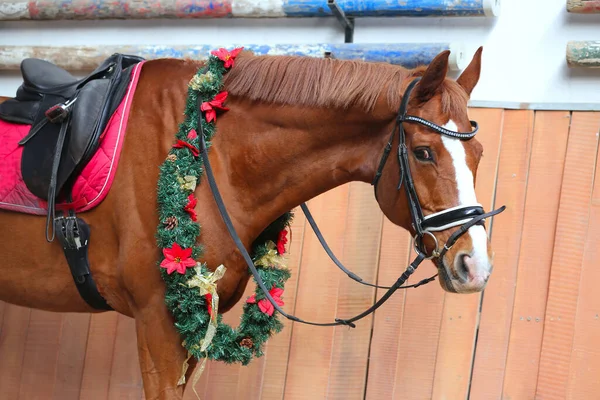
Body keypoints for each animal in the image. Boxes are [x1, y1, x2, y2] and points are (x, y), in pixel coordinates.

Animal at [0, 46, 496, 396]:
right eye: (423, 152)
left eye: (478, 154)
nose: (475, 266)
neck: (208, 153)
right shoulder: (158, 323)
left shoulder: (193, 326)